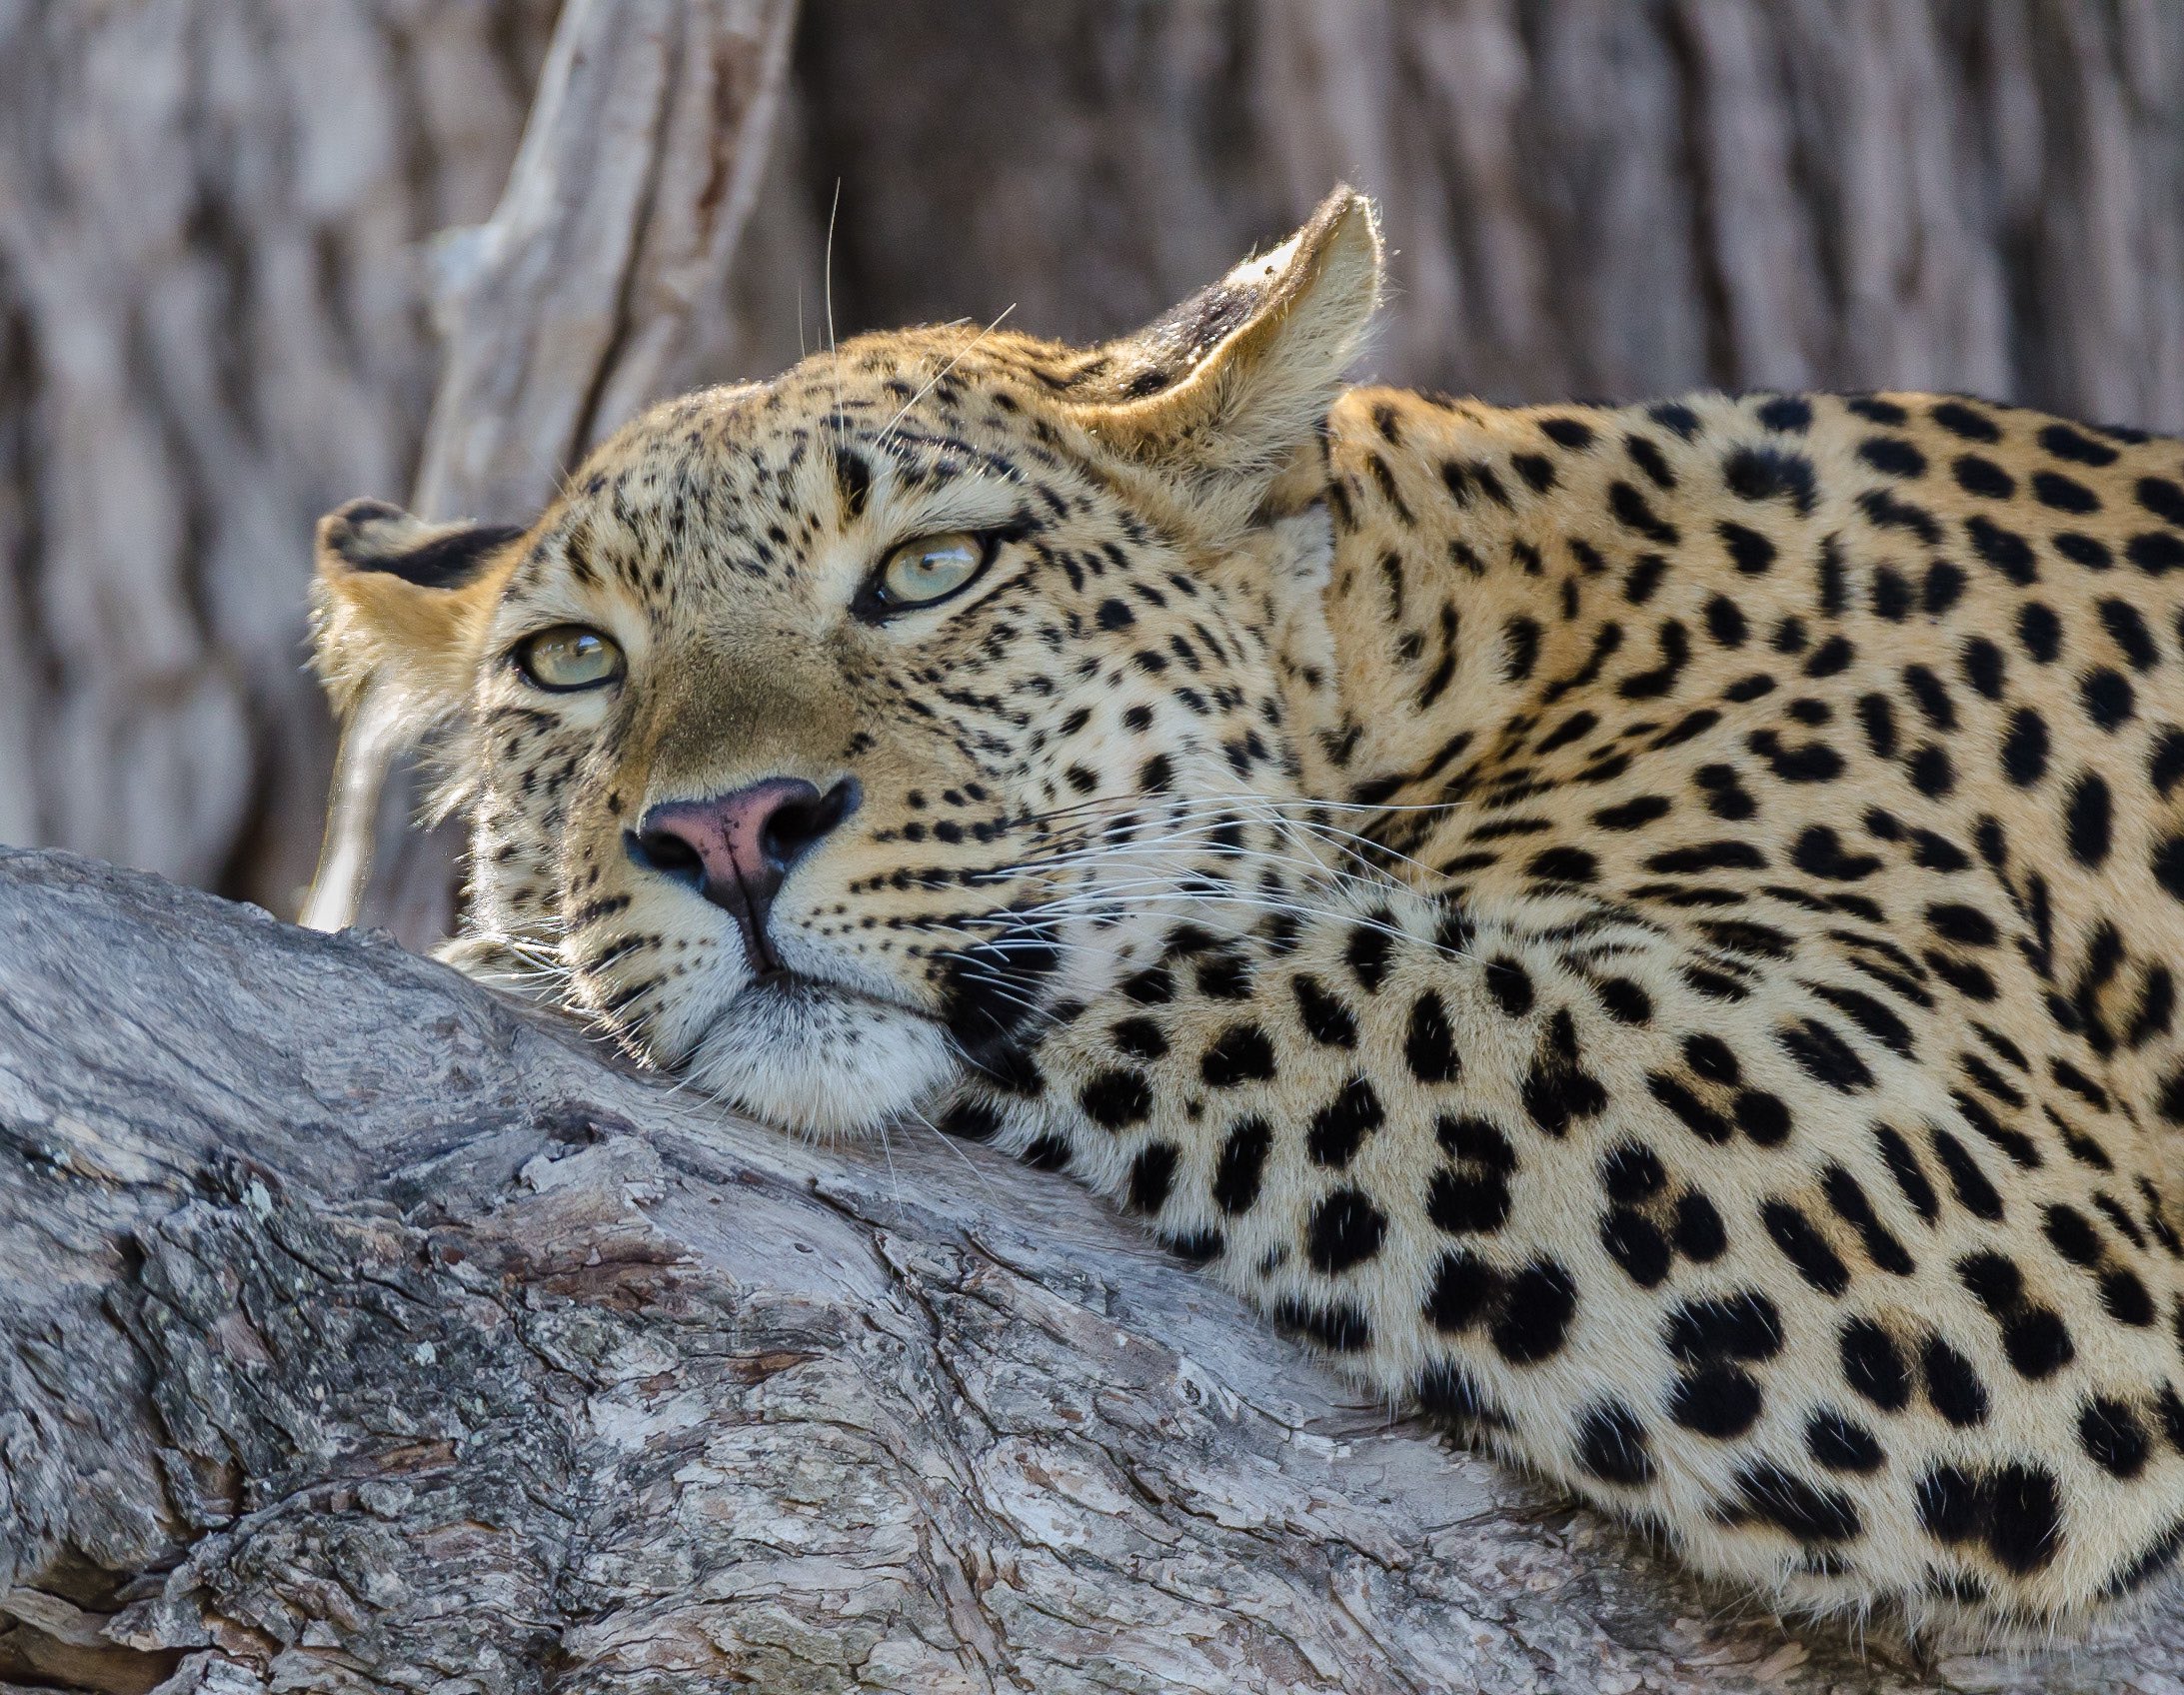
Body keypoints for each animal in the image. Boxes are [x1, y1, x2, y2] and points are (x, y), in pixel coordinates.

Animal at [308, 189, 2184, 1642]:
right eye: (574, 662)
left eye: (928, 570)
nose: (725, 830)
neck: (1456, 641)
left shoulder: (1936, 1156)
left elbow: (1295, 973)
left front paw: (486, 961)